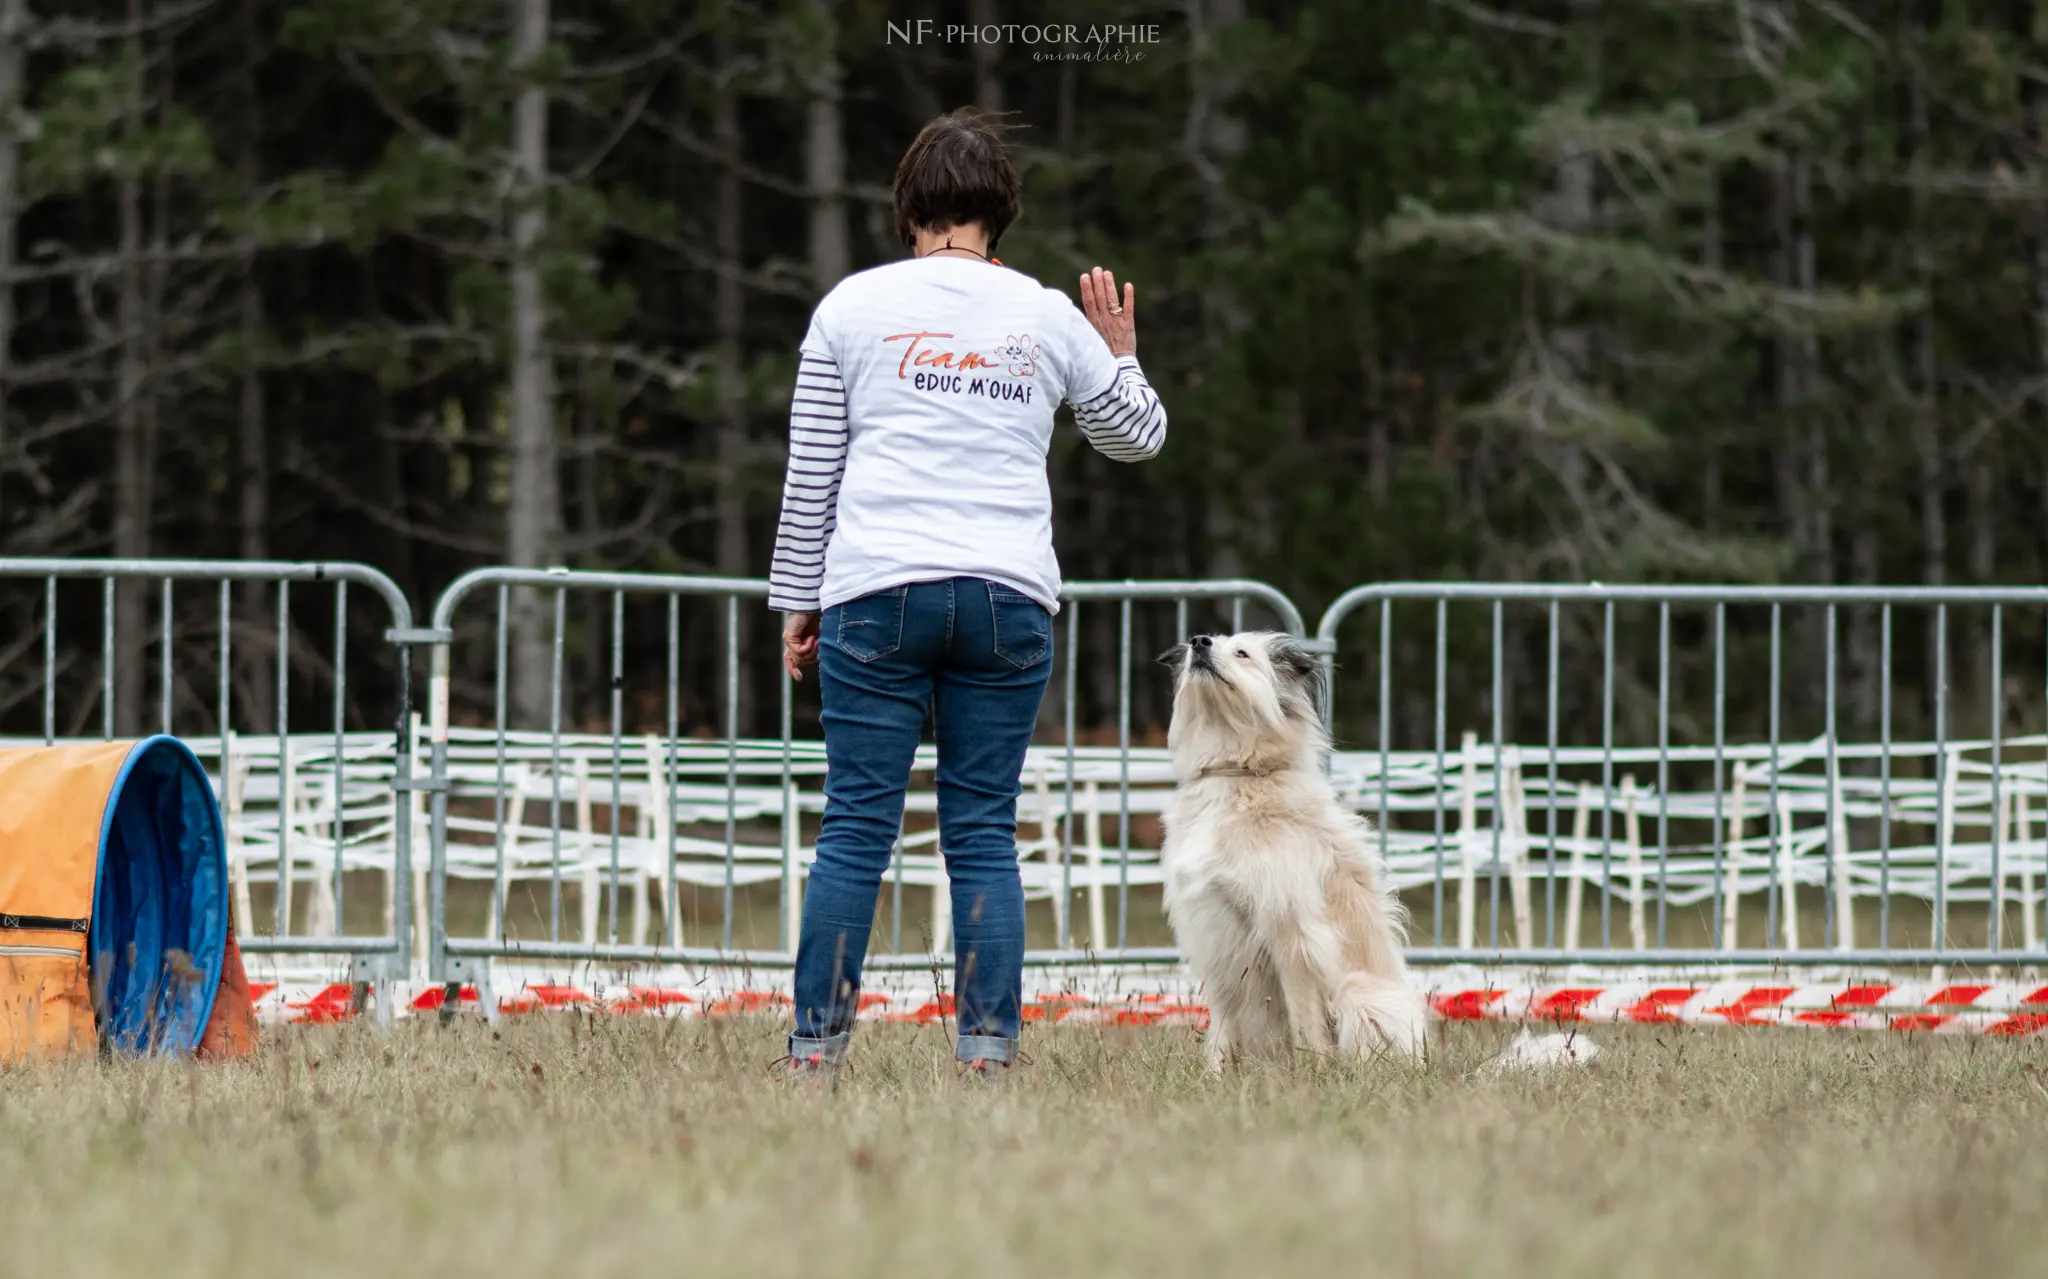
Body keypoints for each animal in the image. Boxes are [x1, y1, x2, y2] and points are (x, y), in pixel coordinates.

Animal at [1155, 630, 1425, 1064]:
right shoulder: (1211, 931)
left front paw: (1312, 1070)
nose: (1199, 641)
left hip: (1359, 997)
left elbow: (1305, 1021)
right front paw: (1214, 1074)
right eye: (1204, 642)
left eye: (1242, 653)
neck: (1237, 772)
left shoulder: (1291, 932)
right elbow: (1221, 1025)